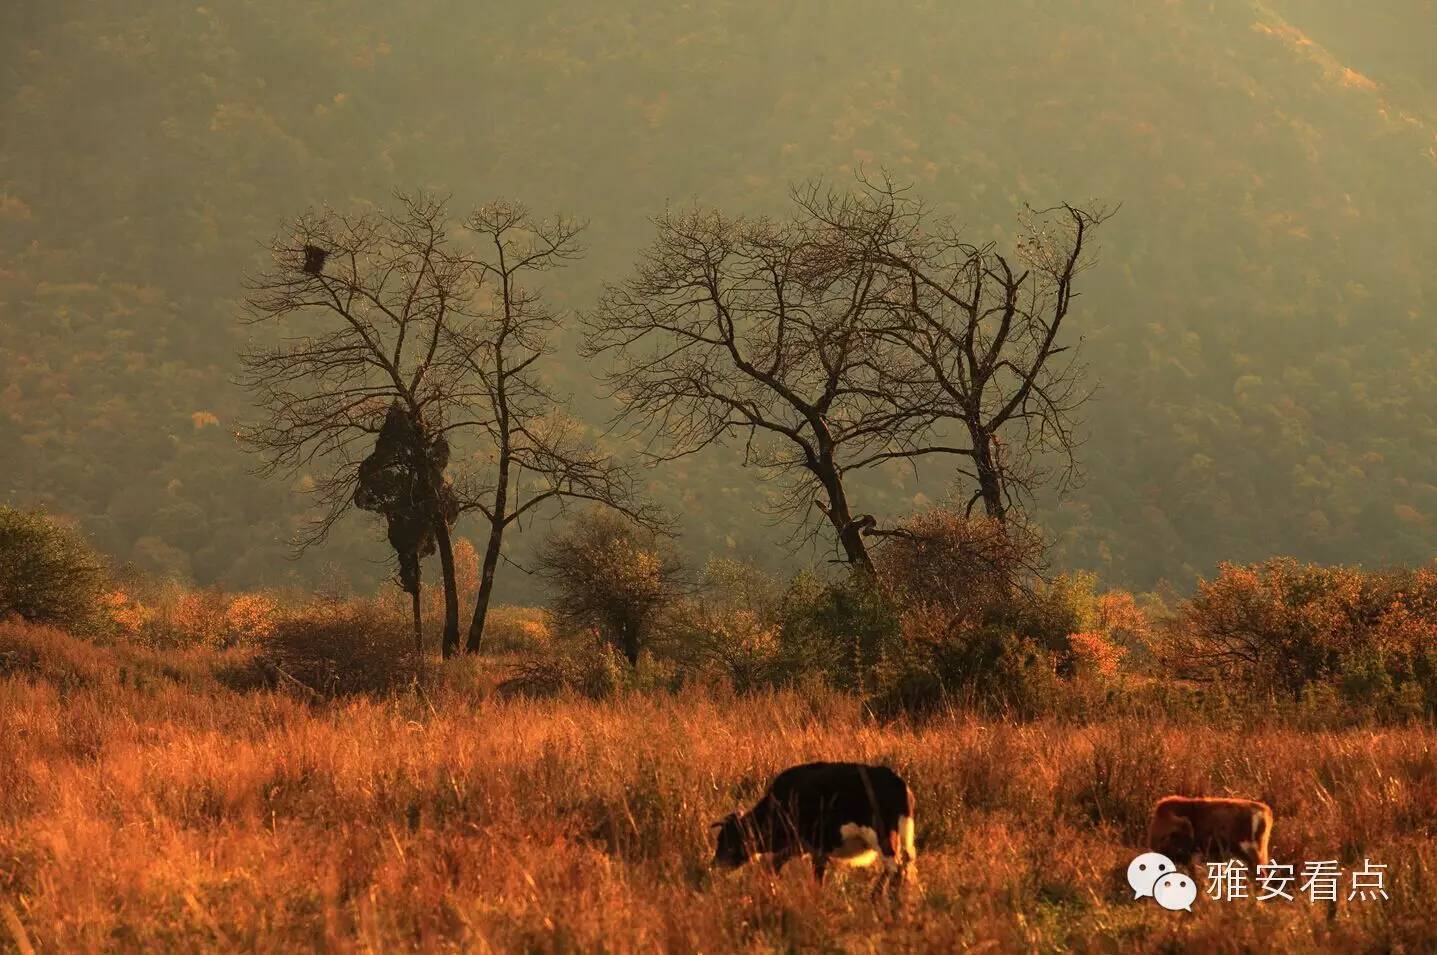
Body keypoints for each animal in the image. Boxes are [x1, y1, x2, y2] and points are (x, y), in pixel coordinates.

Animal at [709, 758, 919, 896]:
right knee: (903, 866)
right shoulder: (799, 846)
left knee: (895, 869)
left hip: (883, 836)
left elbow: (816, 877)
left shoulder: (817, 848)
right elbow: (774, 866)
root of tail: (896, 780)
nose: (714, 865)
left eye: (728, 839)